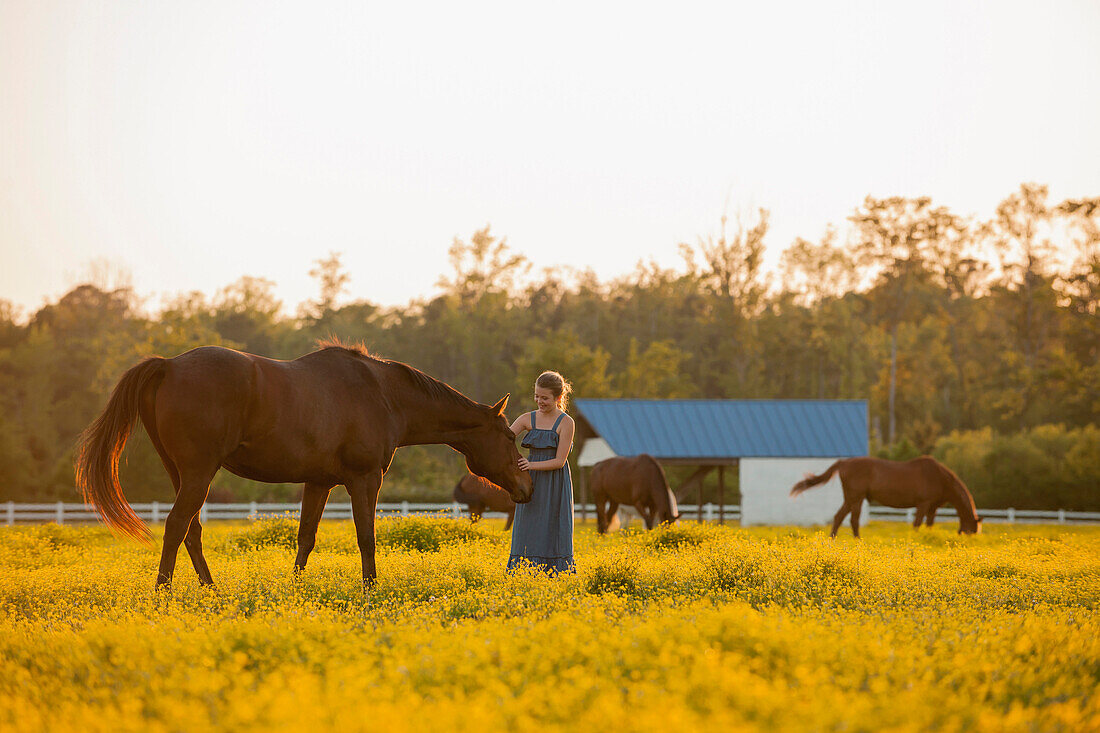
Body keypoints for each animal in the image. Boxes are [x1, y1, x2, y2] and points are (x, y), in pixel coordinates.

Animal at [75, 338, 530, 585]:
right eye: (511, 437)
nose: (526, 489)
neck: (384, 395)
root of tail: (168, 366)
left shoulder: (319, 482)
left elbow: (305, 538)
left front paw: (295, 589)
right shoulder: (365, 480)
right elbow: (366, 537)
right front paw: (371, 589)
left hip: (182, 475)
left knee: (191, 531)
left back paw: (210, 590)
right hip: (198, 474)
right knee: (175, 527)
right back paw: (163, 594)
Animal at [787, 453, 985, 534]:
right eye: (971, 531)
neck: (940, 477)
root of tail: (843, 462)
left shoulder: (932, 508)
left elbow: (929, 525)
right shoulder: (923, 504)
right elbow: (917, 524)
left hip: (853, 498)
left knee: (840, 517)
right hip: (856, 498)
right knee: (851, 520)